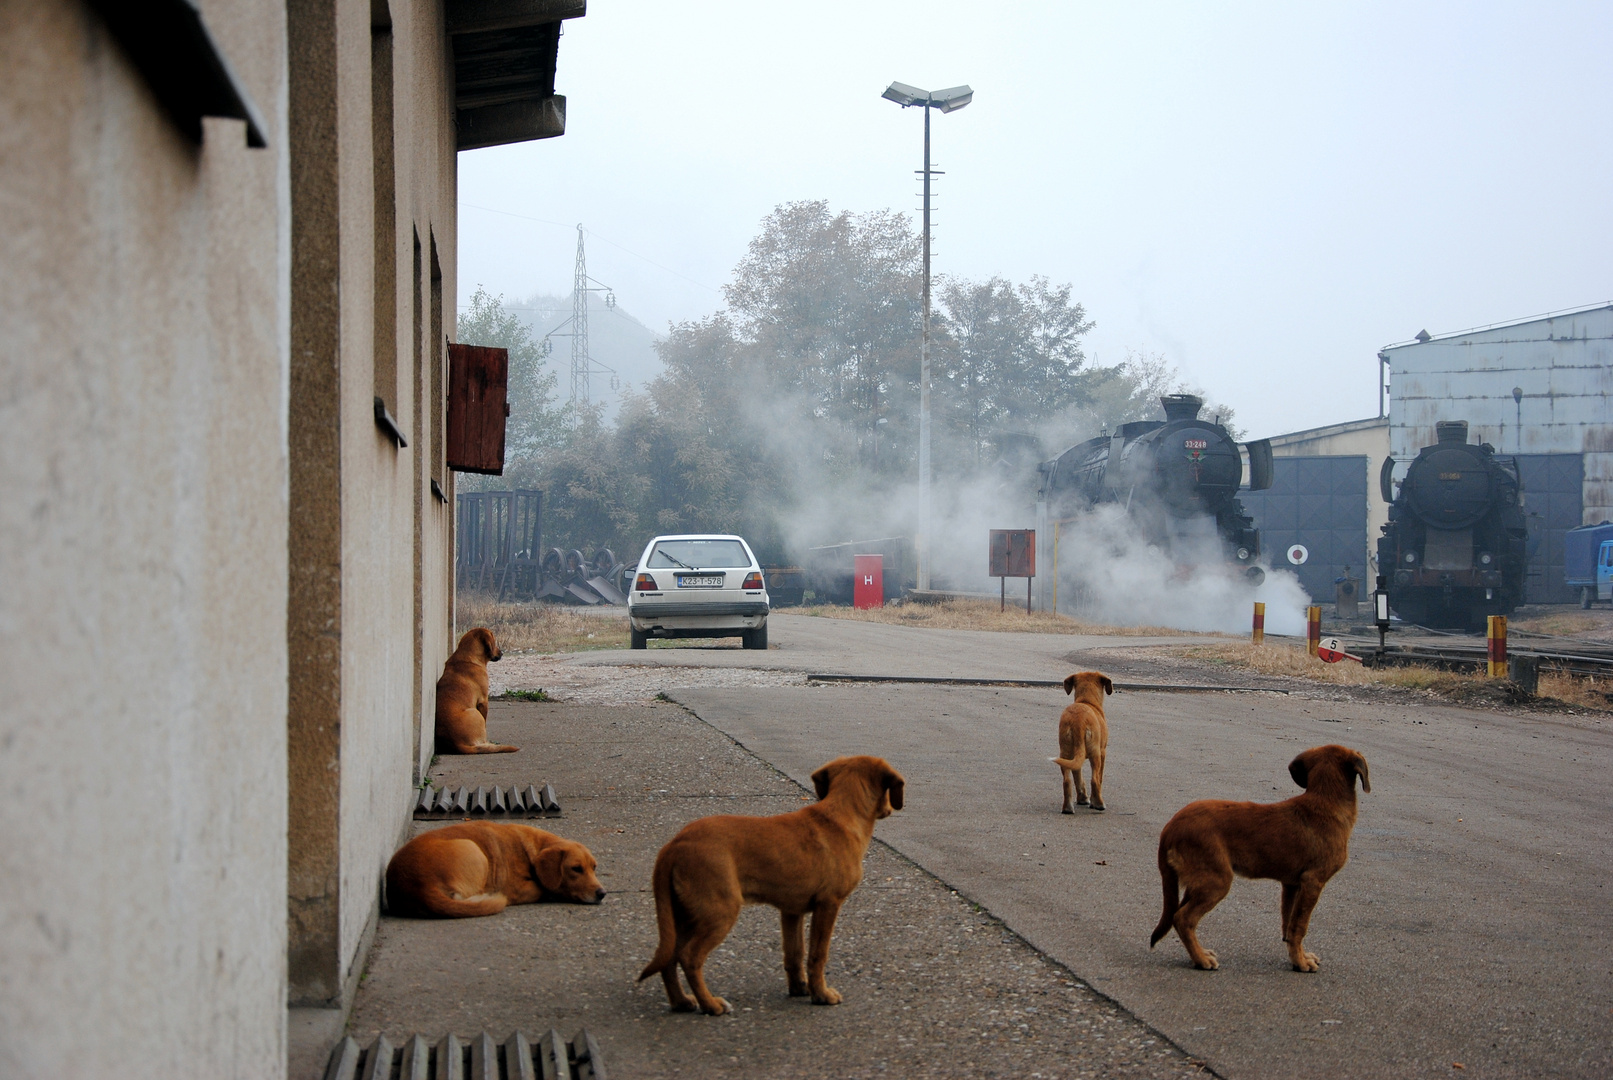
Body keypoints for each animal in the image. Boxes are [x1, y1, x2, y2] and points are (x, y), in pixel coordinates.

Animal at [383, 825, 606, 915]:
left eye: (594, 868)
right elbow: (541, 888)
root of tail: (419, 887)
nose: (602, 893)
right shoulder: (516, 888)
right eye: (576, 869)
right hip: (473, 848)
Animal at [632, 757, 909, 1018]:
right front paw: (821, 995)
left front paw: (800, 989)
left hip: (684, 914)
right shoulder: (828, 904)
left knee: (668, 956)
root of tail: (674, 845)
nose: (889, 810)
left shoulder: (791, 911)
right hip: (718, 911)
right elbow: (817, 955)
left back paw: (681, 1002)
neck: (841, 815)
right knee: (689, 957)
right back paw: (710, 1005)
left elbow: (794, 954)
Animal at [1045, 667, 1109, 812]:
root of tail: (1078, 721)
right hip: (1095, 754)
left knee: (1067, 781)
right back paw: (1099, 804)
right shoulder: (1103, 752)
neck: (1086, 701)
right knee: (1094, 780)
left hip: (1066, 752)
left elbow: (1078, 778)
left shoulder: (1075, 759)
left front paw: (1083, 799)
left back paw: (1067, 808)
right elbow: (1100, 778)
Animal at [1154, 744, 1367, 973]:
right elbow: (1300, 926)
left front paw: (1298, 957)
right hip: (1216, 881)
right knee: (1183, 918)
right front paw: (1301, 963)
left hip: (1199, 880)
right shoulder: (1312, 882)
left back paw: (1200, 954)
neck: (1325, 801)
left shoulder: (1292, 885)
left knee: (1179, 914)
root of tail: (1171, 826)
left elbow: (1289, 926)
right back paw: (1201, 960)